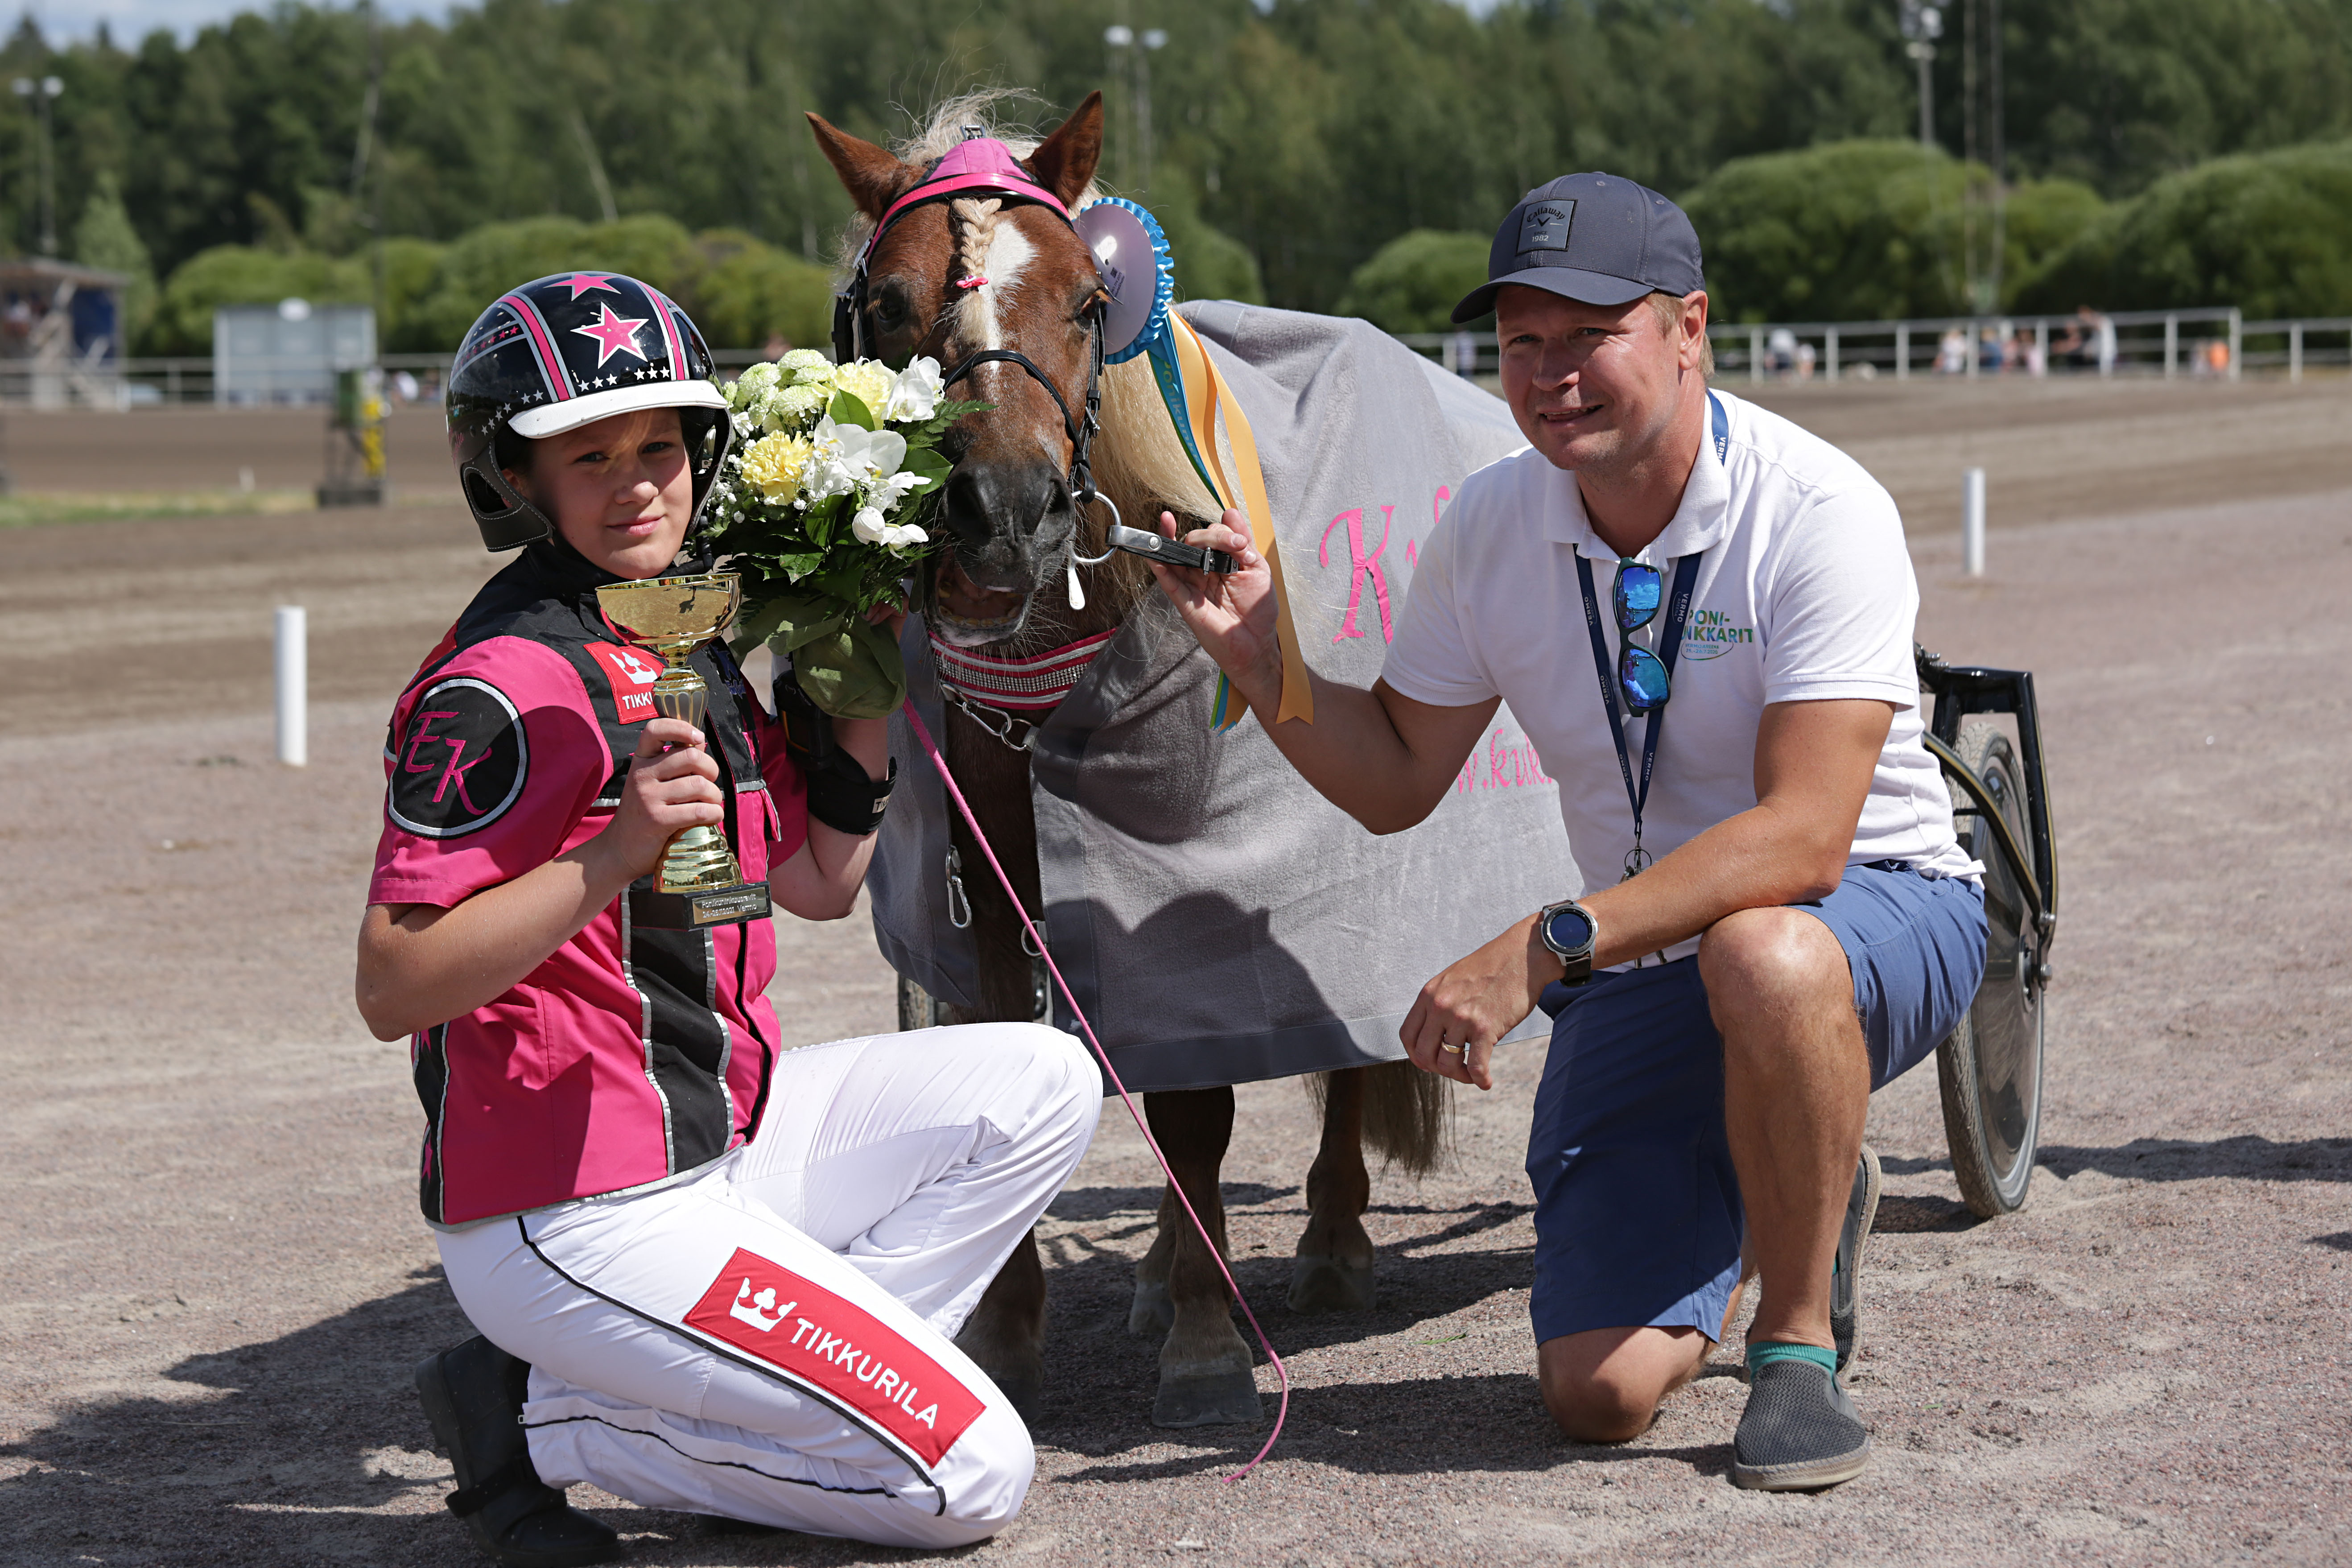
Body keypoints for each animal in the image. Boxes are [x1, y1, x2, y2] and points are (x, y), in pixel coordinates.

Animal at [804, 92, 1430, 1429]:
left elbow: (1198, 1103)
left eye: (1093, 299)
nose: (1004, 508)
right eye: (886, 302)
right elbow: (1019, 1051)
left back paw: (1331, 1238)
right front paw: (1005, 1329)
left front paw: (1201, 1340)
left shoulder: (1193, 880)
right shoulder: (995, 871)